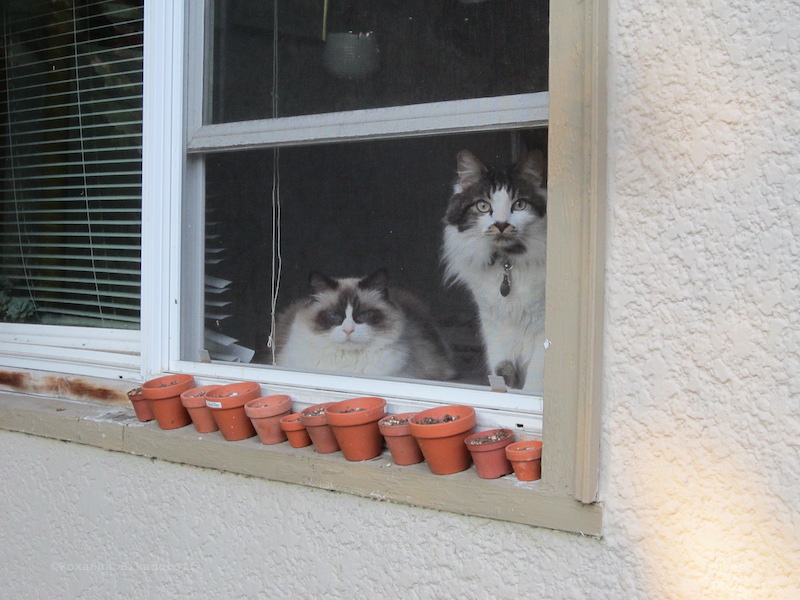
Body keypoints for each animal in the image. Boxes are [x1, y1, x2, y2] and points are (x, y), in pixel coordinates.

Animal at [441, 149, 547, 392]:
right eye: (483, 206)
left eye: (519, 205)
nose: (501, 224)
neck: (506, 264)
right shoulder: (495, 328)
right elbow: (502, 374)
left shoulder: (541, 333)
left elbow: (533, 383)